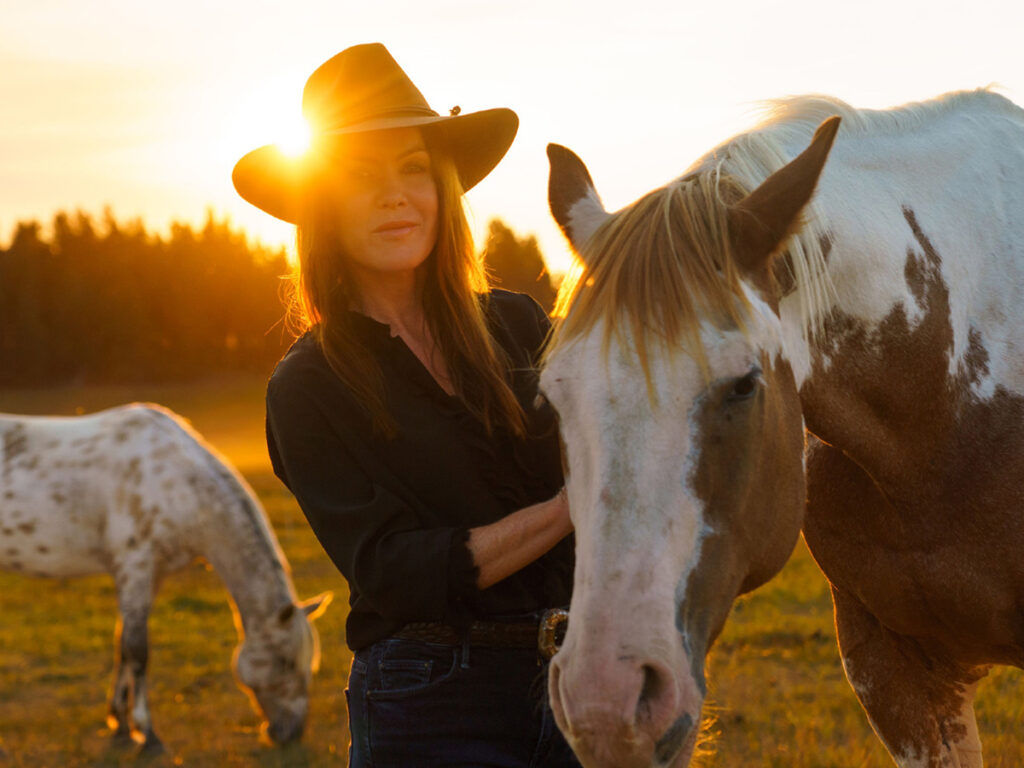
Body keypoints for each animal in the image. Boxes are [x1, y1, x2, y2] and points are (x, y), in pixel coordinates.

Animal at [0, 405, 327, 753]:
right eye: (284, 662)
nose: (290, 733)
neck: (178, 484)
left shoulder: (151, 575)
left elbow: (122, 645)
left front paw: (120, 723)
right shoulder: (135, 567)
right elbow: (137, 649)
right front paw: (146, 732)